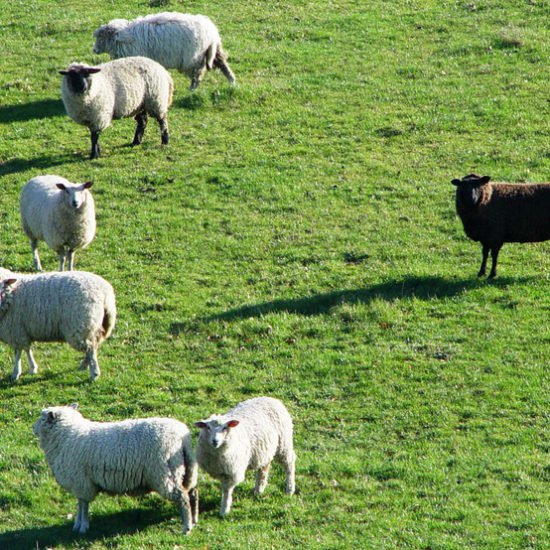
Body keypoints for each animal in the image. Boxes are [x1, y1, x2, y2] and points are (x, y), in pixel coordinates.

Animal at [34, 404, 201, 536]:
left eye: (42, 418)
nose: (32, 428)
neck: (67, 435)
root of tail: (183, 437)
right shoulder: (80, 483)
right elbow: (80, 504)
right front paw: (77, 524)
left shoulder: (81, 481)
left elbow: (83, 505)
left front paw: (82, 526)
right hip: (187, 470)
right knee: (192, 492)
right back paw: (194, 520)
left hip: (165, 473)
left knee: (183, 497)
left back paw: (186, 528)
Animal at [92, 11, 235, 90]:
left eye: (101, 37)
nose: (94, 50)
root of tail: (212, 32)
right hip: (212, 52)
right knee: (222, 63)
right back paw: (232, 81)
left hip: (194, 58)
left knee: (198, 73)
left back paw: (192, 88)